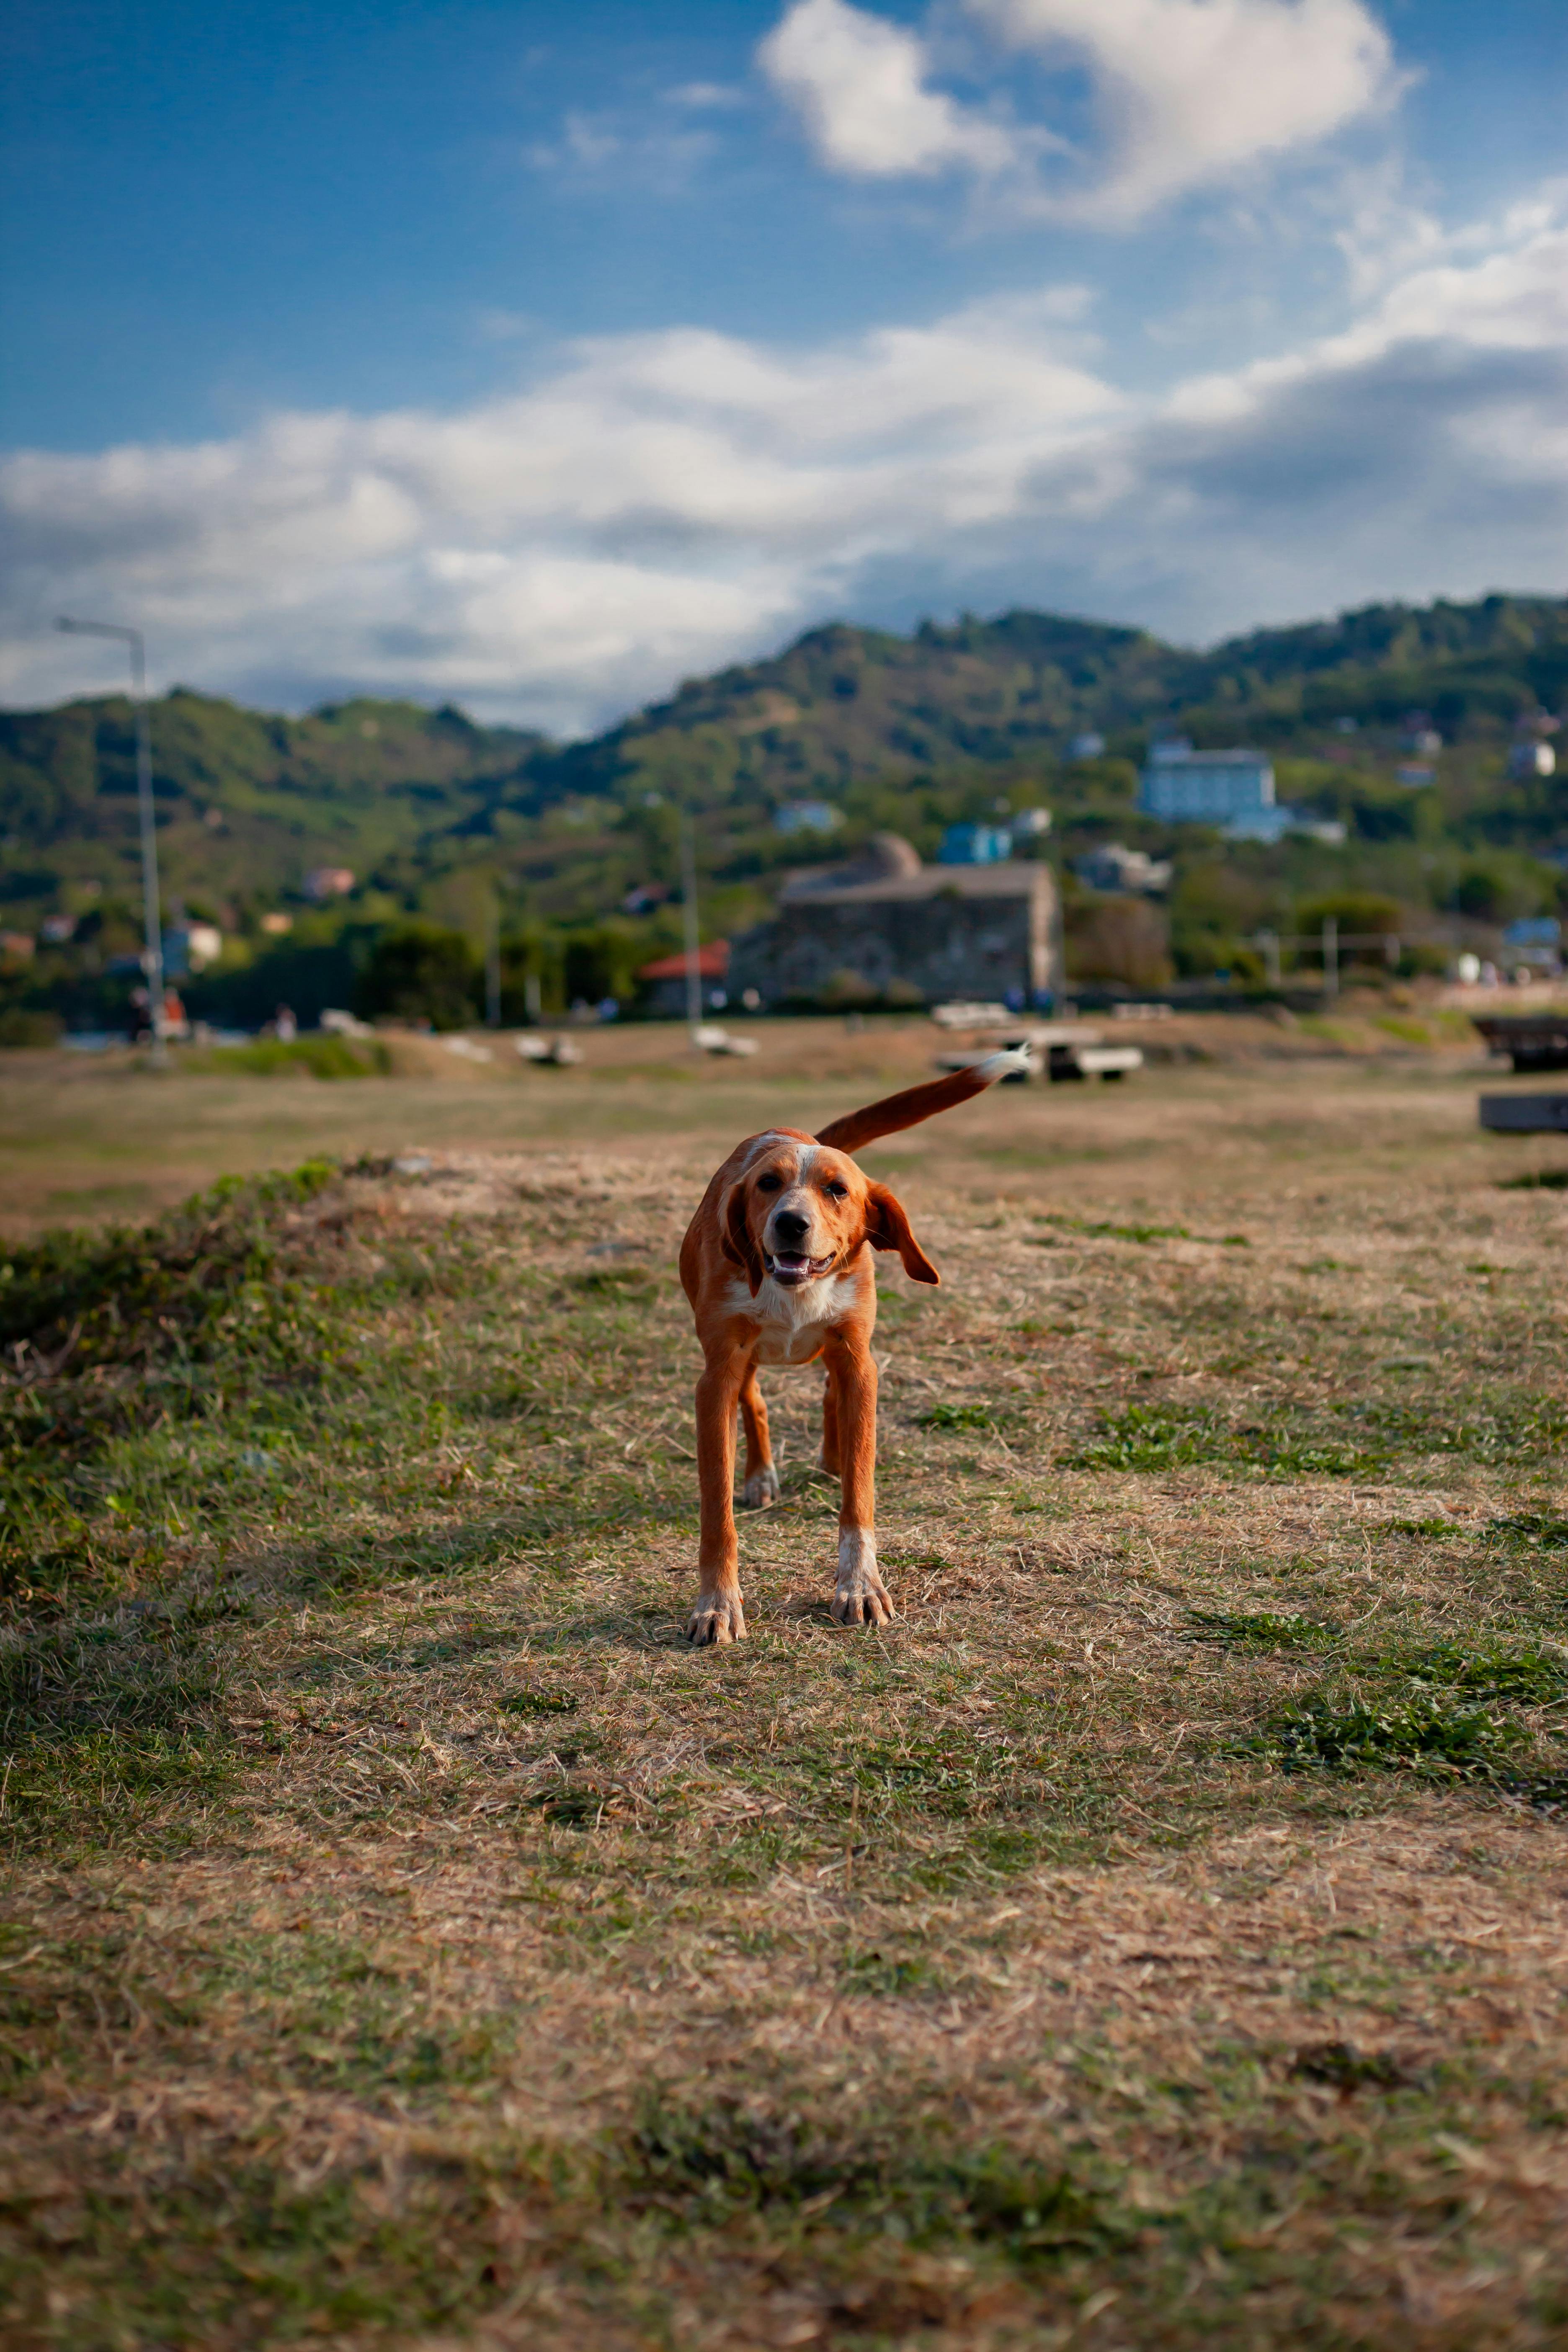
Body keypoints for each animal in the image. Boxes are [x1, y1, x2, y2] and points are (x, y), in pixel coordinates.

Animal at [677, 1058, 1029, 1646]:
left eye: (838, 1191)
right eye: (767, 1185)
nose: (790, 1222)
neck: (795, 1289)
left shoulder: (860, 1363)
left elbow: (859, 1501)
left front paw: (860, 1586)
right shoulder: (716, 1375)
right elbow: (716, 1514)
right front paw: (717, 1604)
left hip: (840, 1354)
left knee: (828, 1395)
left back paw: (832, 1459)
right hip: (741, 1362)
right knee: (756, 1402)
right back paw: (760, 1476)